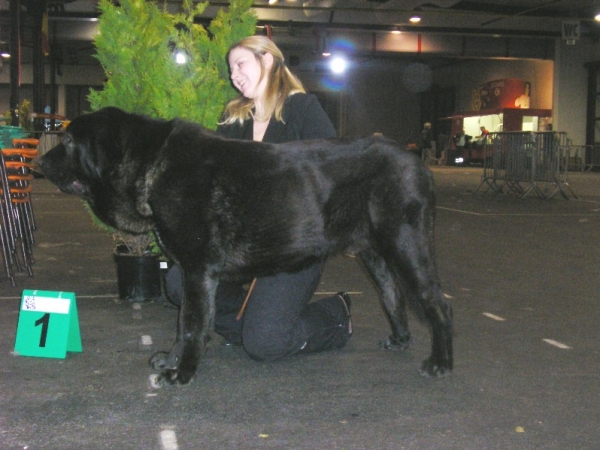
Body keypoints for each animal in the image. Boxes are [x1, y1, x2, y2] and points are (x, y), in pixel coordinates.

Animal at [39, 107, 452, 384]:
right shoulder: (191, 273)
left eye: (69, 142)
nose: (39, 161)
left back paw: (441, 363)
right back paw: (400, 340)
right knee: (392, 295)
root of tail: (418, 162)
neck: (152, 162)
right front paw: (172, 361)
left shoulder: (198, 269)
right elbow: (185, 324)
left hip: (406, 245)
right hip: (375, 253)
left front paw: (182, 373)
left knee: (437, 304)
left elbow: (191, 323)